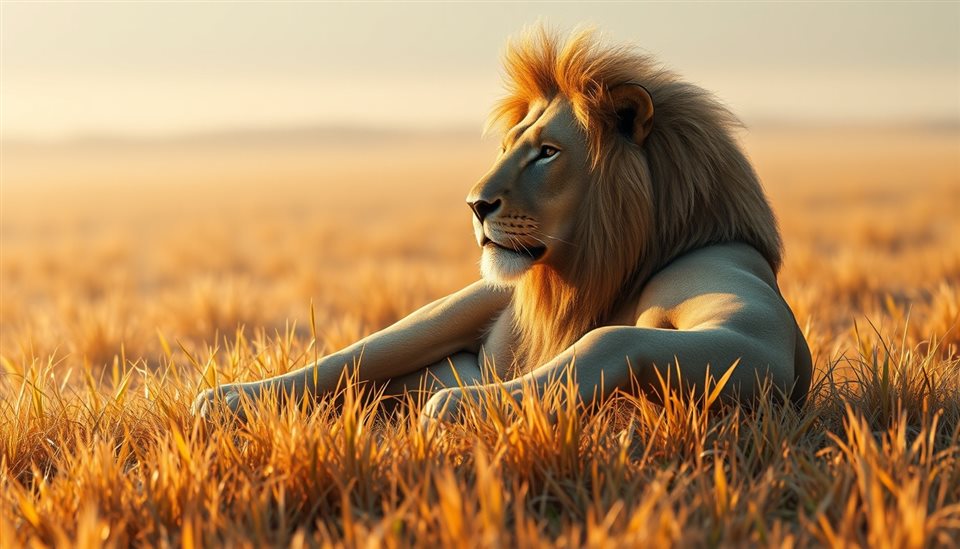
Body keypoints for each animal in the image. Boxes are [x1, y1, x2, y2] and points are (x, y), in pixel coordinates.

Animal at [193, 27, 812, 421]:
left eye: (547, 152)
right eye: (511, 145)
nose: (474, 204)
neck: (601, 270)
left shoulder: (743, 313)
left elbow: (610, 336)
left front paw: (472, 403)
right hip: (462, 301)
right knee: (355, 357)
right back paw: (228, 398)